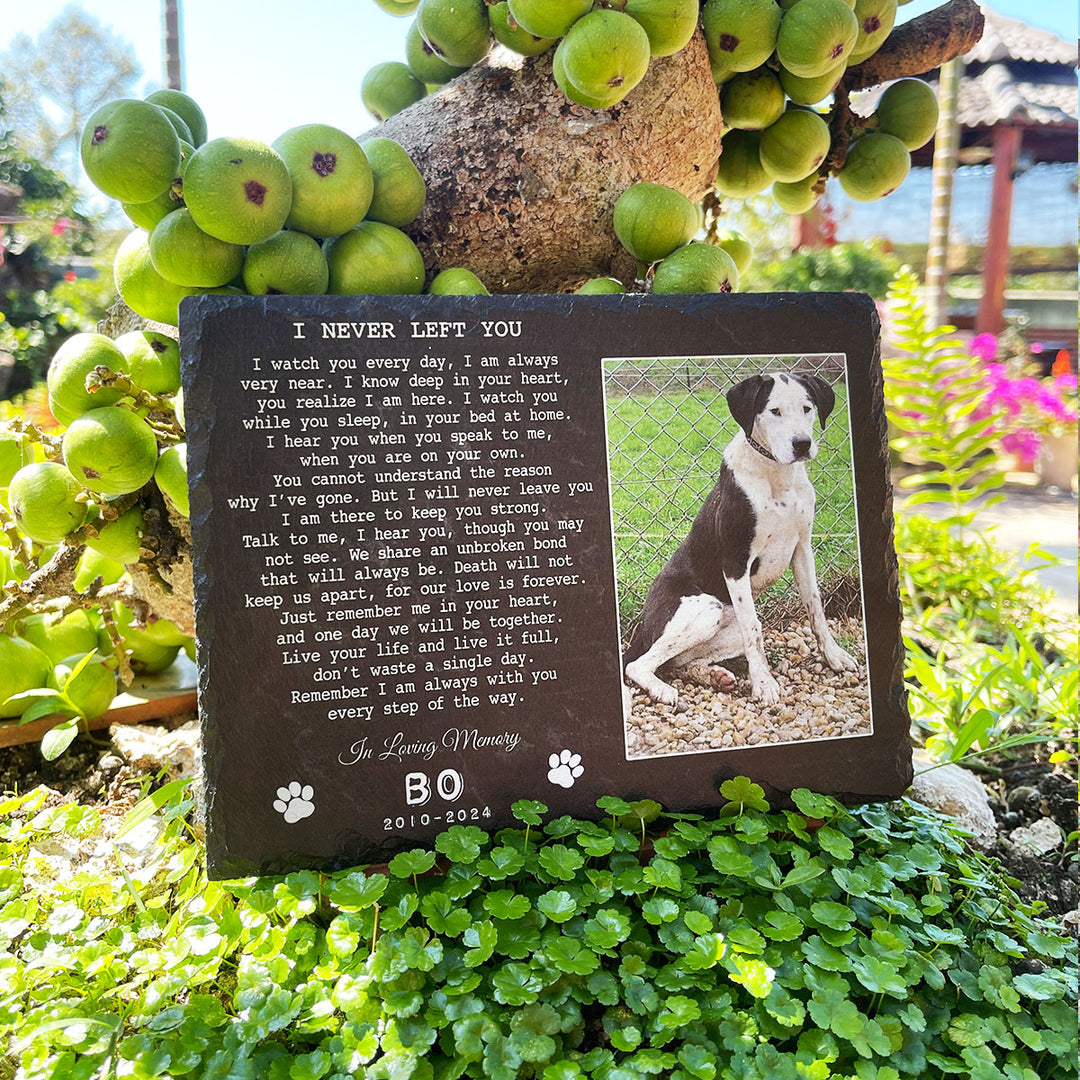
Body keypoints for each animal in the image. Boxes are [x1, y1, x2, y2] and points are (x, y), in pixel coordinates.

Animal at [626, 371, 859, 708]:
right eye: (774, 411)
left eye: (807, 408)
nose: (802, 444)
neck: (777, 476)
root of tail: (642, 627)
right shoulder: (736, 561)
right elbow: (754, 632)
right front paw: (763, 684)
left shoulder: (802, 549)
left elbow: (816, 609)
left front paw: (834, 656)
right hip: (704, 610)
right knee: (639, 664)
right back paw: (662, 689)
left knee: (679, 662)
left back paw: (712, 676)